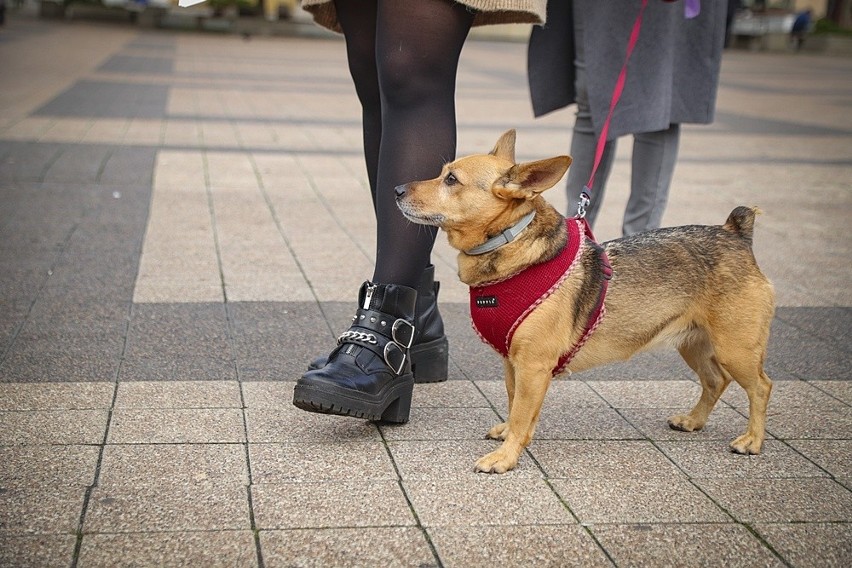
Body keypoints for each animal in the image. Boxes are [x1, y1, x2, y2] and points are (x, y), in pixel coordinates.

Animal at [396, 131, 776, 472]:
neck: (511, 246)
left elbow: (521, 413)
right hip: (694, 343)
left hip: (735, 349)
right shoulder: (514, 364)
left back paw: (752, 440)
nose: (396, 189)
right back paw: (694, 420)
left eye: (451, 180)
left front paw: (505, 457)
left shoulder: (533, 366)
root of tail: (735, 234)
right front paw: (511, 436)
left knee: (761, 386)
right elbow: (515, 402)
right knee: (715, 380)